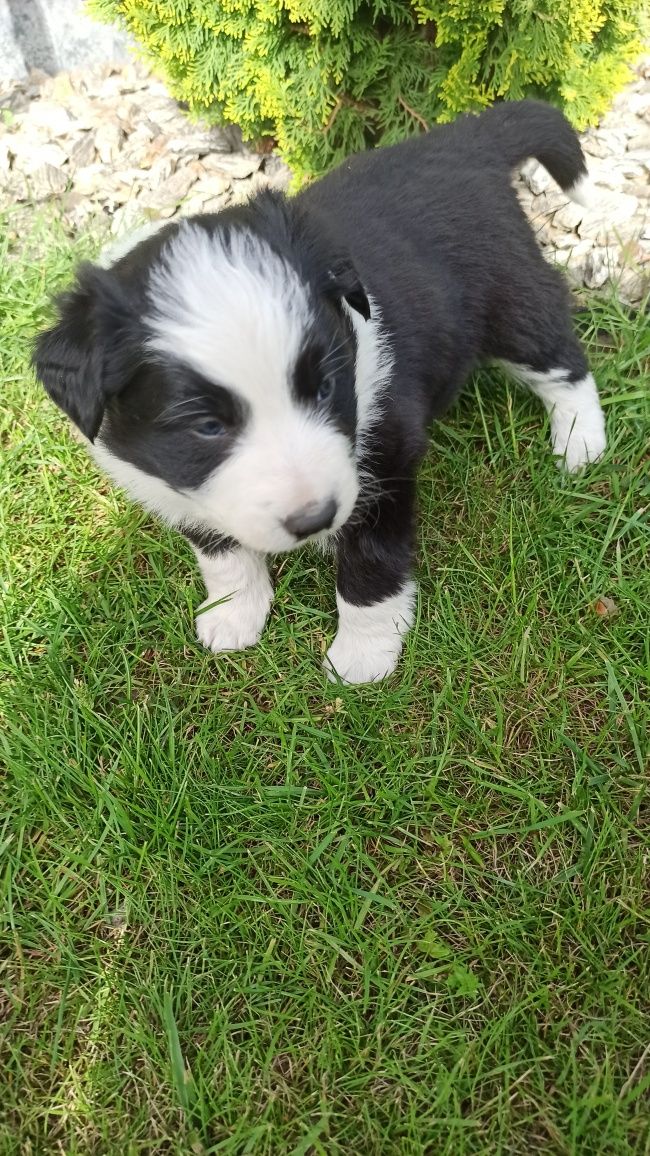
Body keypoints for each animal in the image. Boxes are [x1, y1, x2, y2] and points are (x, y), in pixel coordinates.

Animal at [32, 101, 606, 675]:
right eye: (207, 427)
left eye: (326, 388)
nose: (316, 519)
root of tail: (466, 137)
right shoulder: (174, 480)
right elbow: (223, 553)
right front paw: (233, 615)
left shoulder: (384, 458)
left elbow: (371, 562)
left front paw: (363, 656)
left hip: (510, 297)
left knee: (562, 361)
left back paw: (580, 446)